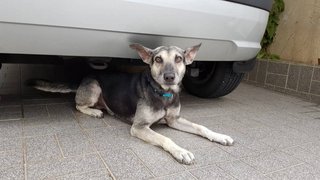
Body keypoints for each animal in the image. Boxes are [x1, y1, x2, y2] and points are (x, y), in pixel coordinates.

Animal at [30, 43, 234, 165]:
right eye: (158, 59)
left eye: (179, 59)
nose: (169, 77)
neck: (163, 93)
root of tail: (81, 80)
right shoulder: (139, 127)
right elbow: (165, 138)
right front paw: (180, 151)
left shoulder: (174, 120)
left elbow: (201, 127)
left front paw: (219, 136)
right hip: (95, 86)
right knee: (78, 105)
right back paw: (94, 112)